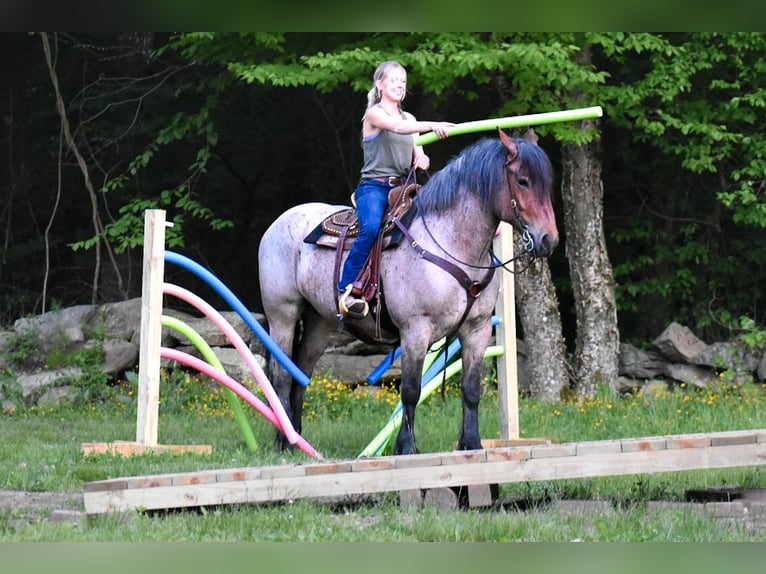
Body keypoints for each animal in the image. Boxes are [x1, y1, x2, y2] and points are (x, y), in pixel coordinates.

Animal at [258, 128, 560, 456]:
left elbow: (470, 388)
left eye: (547, 182)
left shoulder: (476, 330)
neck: (451, 241)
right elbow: (411, 390)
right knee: (281, 375)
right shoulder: (416, 329)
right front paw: (406, 446)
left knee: (300, 373)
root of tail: (279, 223)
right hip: (283, 315)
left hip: (319, 323)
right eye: (523, 181)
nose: (549, 239)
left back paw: (298, 440)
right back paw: (283, 441)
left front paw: (471, 443)